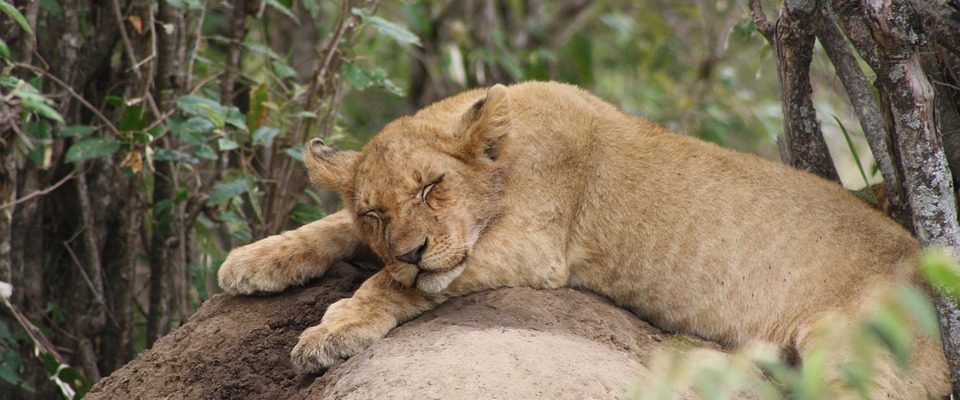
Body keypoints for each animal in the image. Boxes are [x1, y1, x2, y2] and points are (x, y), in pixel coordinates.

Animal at [216, 81, 944, 396]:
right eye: (374, 211)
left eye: (431, 188)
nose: (413, 250)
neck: (508, 153)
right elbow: (333, 230)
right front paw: (253, 260)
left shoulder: (534, 249)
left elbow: (390, 284)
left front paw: (332, 331)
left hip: (855, 346)